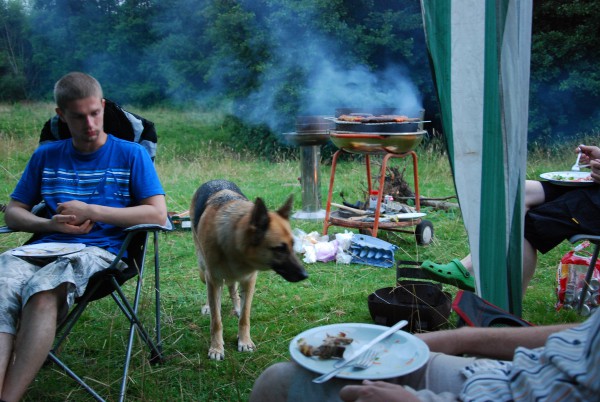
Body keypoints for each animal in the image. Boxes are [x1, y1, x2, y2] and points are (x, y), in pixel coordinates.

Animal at [190, 180, 308, 362]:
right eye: (279, 249)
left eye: (292, 245)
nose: (305, 275)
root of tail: (215, 180)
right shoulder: (214, 280)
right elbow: (216, 321)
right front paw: (216, 348)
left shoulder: (249, 280)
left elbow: (245, 317)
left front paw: (244, 341)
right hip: (204, 273)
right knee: (213, 294)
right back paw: (209, 306)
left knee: (233, 289)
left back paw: (237, 306)